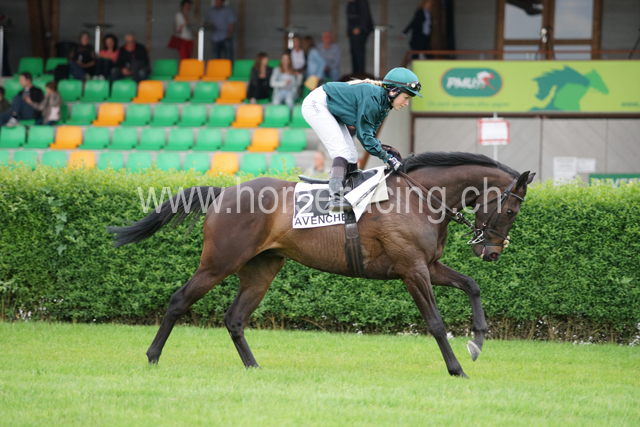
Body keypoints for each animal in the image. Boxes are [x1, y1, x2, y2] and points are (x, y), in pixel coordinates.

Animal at [107, 151, 535, 378]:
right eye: (511, 210)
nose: (492, 252)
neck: (421, 197)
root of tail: (223, 193)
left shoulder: (427, 266)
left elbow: (472, 285)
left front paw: (478, 339)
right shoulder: (412, 270)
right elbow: (434, 322)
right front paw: (456, 367)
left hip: (261, 269)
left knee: (235, 318)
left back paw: (254, 367)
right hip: (218, 263)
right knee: (179, 300)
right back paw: (152, 356)